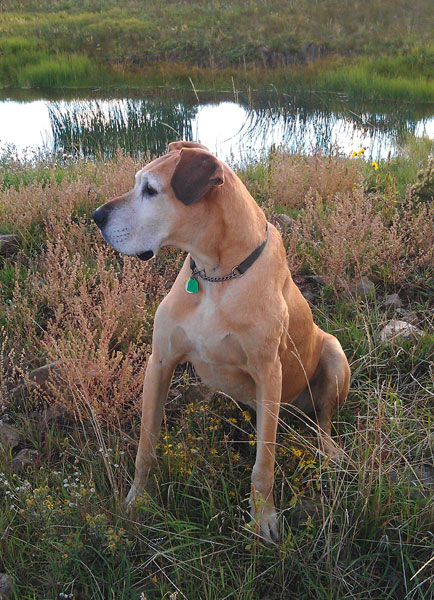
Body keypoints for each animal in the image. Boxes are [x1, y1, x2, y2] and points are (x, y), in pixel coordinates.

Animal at [92, 141, 351, 542]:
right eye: (137, 183)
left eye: (150, 190)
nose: (96, 216)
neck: (216, 273)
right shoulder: (160, 361)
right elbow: (146, 445)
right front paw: (138, 500)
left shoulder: (269, 373)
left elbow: (263, 465)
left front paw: (263, 518)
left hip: (334, 356)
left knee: (323, 419)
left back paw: (329, 448)